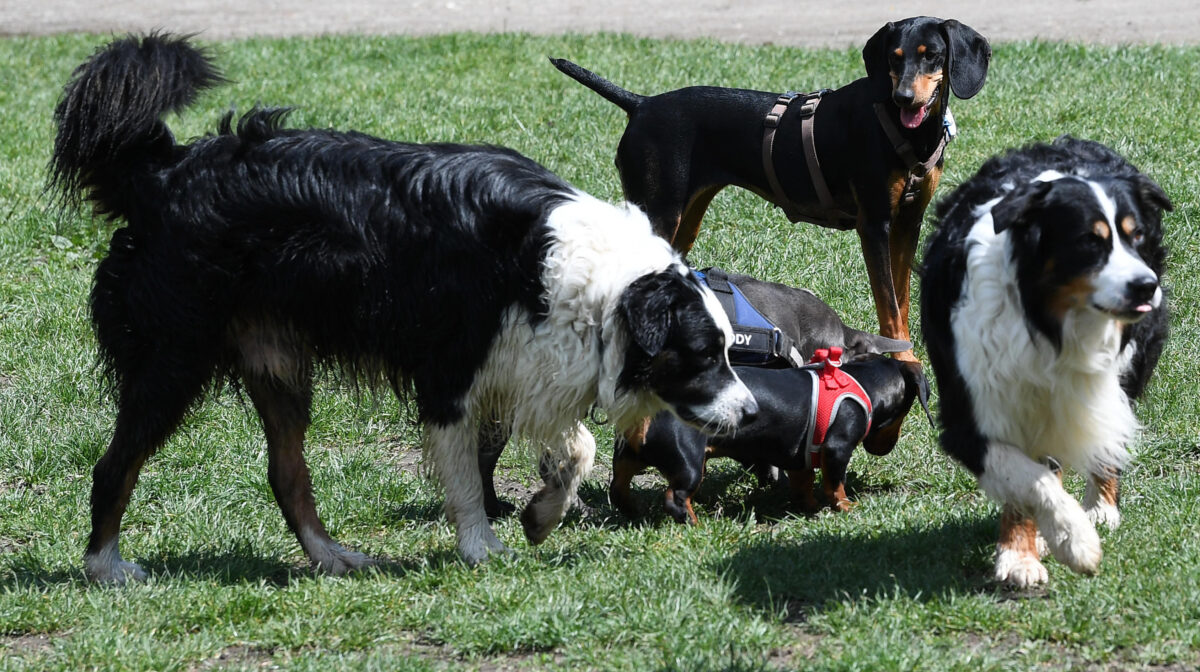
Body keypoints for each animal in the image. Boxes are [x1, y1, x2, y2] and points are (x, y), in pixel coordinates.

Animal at [916, 136, 1171, 588]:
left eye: (1136, 235)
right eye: (1089, 241)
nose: (1146, 286)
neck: (1047, 321)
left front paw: (1074, 533)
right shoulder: (970, 413)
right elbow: (1027, 478)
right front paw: (1044, 548)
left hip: (1130, 363)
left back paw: (1100, 506)